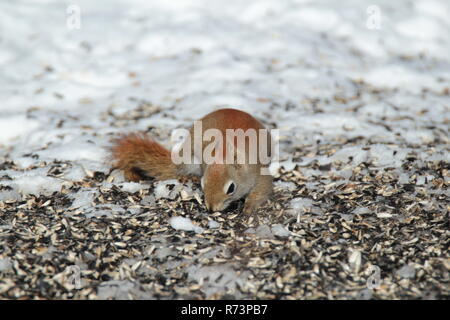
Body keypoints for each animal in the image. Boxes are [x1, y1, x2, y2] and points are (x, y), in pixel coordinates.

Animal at [111, 108, 274, 215]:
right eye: (203, 184)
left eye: (231, 188)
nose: (211, 208)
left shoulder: (259, 172)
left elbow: (262, 190)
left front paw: (250, 207)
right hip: (189, 159)